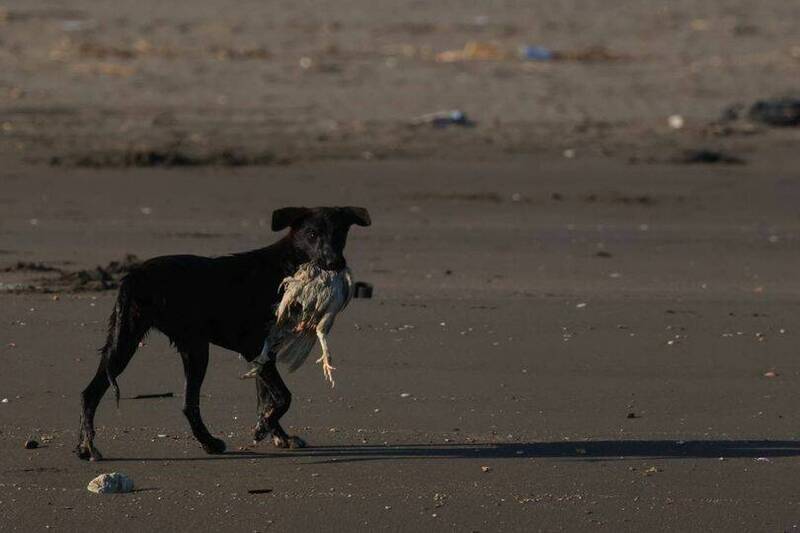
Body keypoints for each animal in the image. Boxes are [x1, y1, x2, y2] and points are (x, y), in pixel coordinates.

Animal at [76, 206, 370, 460]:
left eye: (339, 233)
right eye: (311, 234)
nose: (334, 262)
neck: (288, 264)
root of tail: (133, 276)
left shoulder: (264, 353)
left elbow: (266, 398)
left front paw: (279, 434)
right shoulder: (252, 346)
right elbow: (283, 397)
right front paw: (263, 428)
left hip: (126, 340)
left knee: (91, 392)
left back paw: (84, 447)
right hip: (192, 347)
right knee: (188, 403)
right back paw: (209, 443)